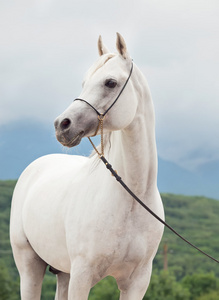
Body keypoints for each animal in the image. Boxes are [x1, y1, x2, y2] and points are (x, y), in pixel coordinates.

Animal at [10, 33, 164, 300]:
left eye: (110, 82)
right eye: (84, 82)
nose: (62, 125)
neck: (132, 199)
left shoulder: (137, 282)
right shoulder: (82, 276)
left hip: (64, 273)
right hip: (30, 266)